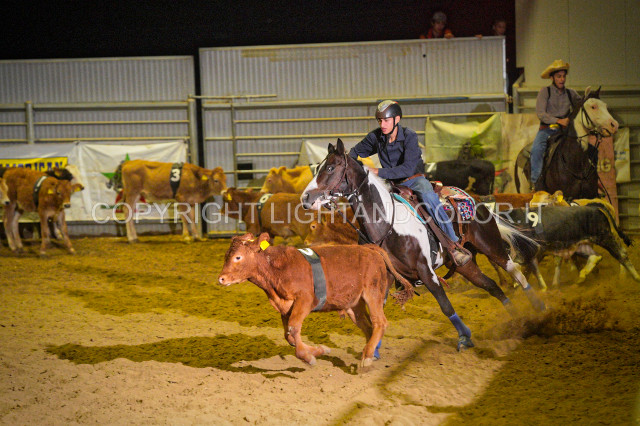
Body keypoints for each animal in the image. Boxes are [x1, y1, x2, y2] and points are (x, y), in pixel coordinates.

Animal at [218, 232, 414, 368]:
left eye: (238, 257)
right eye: (226, 255)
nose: (221, 279)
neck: (276, 268)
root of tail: (369, 249)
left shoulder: (305, 299)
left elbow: (294, 328)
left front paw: (308, 356)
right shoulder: (285, 307)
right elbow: (289, 335)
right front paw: (319, 350)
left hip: (373, 293)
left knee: (379, 322)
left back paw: (366, 359)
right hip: (354, 305)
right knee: (367, 327)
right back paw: (368, 353)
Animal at [301, 139, 545, 351]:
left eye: (331, 167)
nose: (305, 198)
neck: (387, 224)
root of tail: (476, 200)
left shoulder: (426, 271)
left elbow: (445, 305)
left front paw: (465, 337)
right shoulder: (386, 274)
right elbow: (378, 310)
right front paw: (374, 348)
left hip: (491, 245)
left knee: (515, 271)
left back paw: (540, 308)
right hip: (465, 264)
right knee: (492, 286)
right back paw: (516, 319)